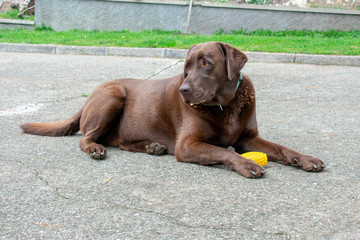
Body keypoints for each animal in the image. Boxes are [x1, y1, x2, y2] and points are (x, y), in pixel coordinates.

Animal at [21, 41, 324, 178]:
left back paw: (151, 147)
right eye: (186, 68)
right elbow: (222, 152)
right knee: (87, 138)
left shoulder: (249, 138)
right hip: (113, 95)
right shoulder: (187, 145)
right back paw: (96, 149)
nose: (184, 90)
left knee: (120, 141)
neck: (225, 106)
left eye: (206, 63)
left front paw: (305, 159)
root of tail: (86, 100)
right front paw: (247, 163)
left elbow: (281, 148)